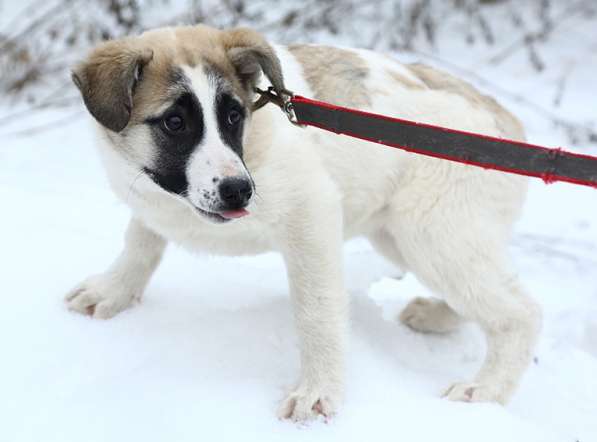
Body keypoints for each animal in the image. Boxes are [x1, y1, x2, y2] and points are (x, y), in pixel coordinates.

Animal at [66, 24, 540, 422]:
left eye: (234, 116)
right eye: (175, 122)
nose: (239, 191)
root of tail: (506, 122)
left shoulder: (312, 216)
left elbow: (316, 313)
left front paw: (318, 393)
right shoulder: (153, 201)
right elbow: (140, 241)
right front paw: (112, 290)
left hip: (430, 232)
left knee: (520, 311)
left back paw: (485, 392)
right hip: (402, 234)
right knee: (483, 295)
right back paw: (435, 316)